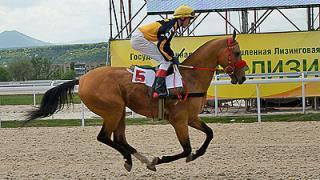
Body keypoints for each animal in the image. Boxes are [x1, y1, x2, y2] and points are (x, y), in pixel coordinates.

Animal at [26, 31, 249, 172]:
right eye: (237, 52)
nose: (242, 77)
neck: (190, 79)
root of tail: (82, 78)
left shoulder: (192, 118)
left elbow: (210, 133)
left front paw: (196, 154)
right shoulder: (178, 121)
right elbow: (186, 148)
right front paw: (162, 159)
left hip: (120, 111)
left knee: (119, 139)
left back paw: (138, 159)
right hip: (113, 110)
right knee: (104, 137)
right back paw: (135, 159)